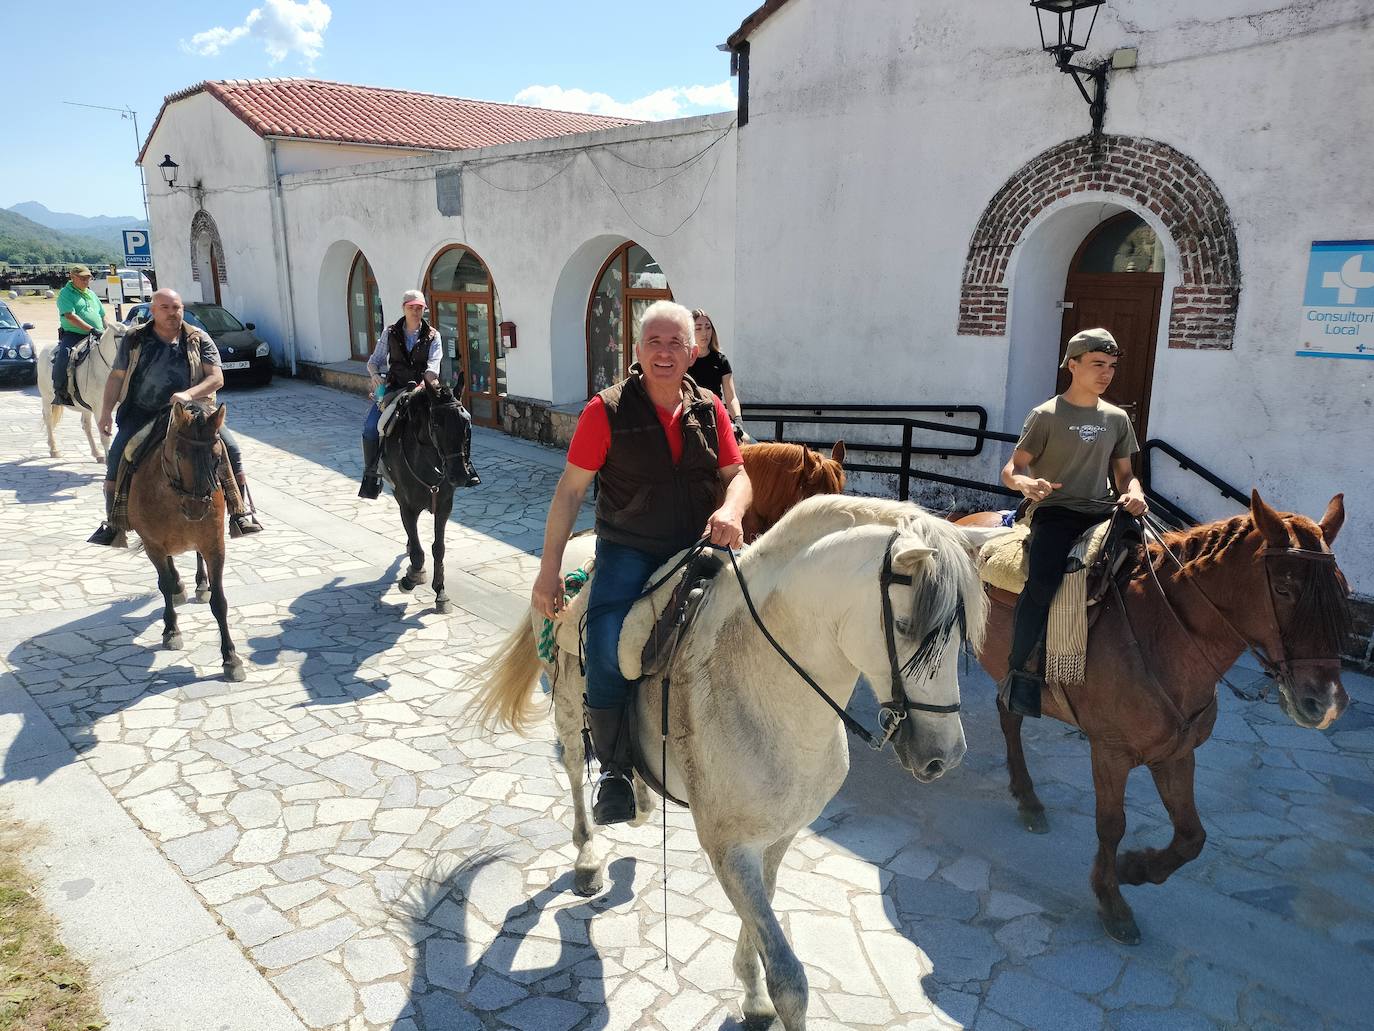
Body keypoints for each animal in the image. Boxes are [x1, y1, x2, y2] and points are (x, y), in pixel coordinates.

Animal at [35, 323, 127, 459]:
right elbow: (105, 437)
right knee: (48, 419)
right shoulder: (100, 409)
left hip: (85, 407)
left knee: (86, 425)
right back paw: (54, 449)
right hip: (46, 397)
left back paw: (96, 453)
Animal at [128, 404, 244, 687]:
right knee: (169, 574)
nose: (197, 507)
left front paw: (231, 658)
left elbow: (220, 602)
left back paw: (201, 585)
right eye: (179, 454)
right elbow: (164, 584)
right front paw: (171, 631)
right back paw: (180, 588)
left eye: (217, 456)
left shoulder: (214, 545)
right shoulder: (153, 545)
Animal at [472, 497, 989, 1028]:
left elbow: (760, 919)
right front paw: (764, 994)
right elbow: (788, 978)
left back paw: (636, 799)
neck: (766, 689)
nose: (944, 756)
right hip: (567, 709)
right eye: (906, 628)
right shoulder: (728, 850)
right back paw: (588, 856)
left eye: (959, 636)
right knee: (576, 772)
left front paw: (752, 995)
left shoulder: (777, 838)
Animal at [972, 489, 1346, 945]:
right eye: (1284, 588)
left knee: (1009, 717)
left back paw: (1028, 801)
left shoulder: (1176, 753)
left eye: (1342, 590)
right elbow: (1111, 825)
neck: (1163, 634)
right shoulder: (1110, 752)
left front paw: (1135, 868)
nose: (1325, 703)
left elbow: (1192, 836)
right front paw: (1112, 902)